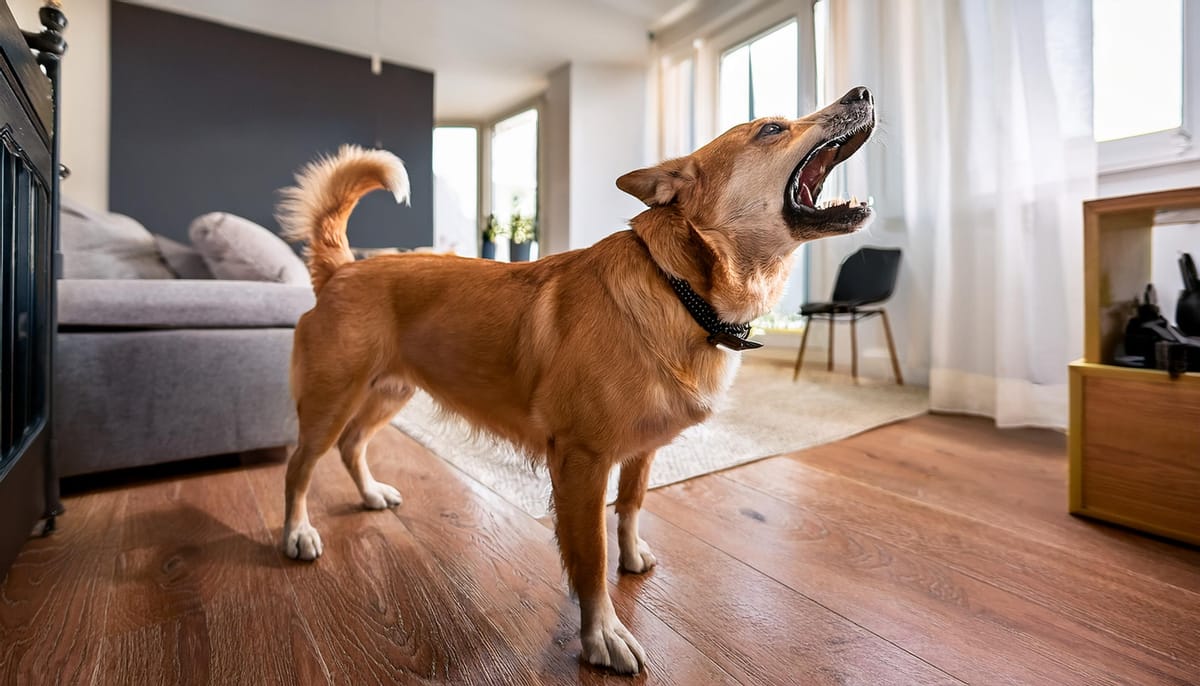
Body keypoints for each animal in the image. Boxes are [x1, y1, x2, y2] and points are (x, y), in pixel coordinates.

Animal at [276, 85, 878, 676]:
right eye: (771, 128)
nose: (863, 92)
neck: (681, 290)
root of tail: (343, 268)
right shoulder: (582, 464)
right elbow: (589, 560)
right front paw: (602, 636)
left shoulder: (640, 452)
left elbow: (630, 506)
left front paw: (631, 557)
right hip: (331, 402)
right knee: (299, 468)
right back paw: (296, 533)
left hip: (389, 393)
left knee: (353, 446)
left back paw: (370, 494)